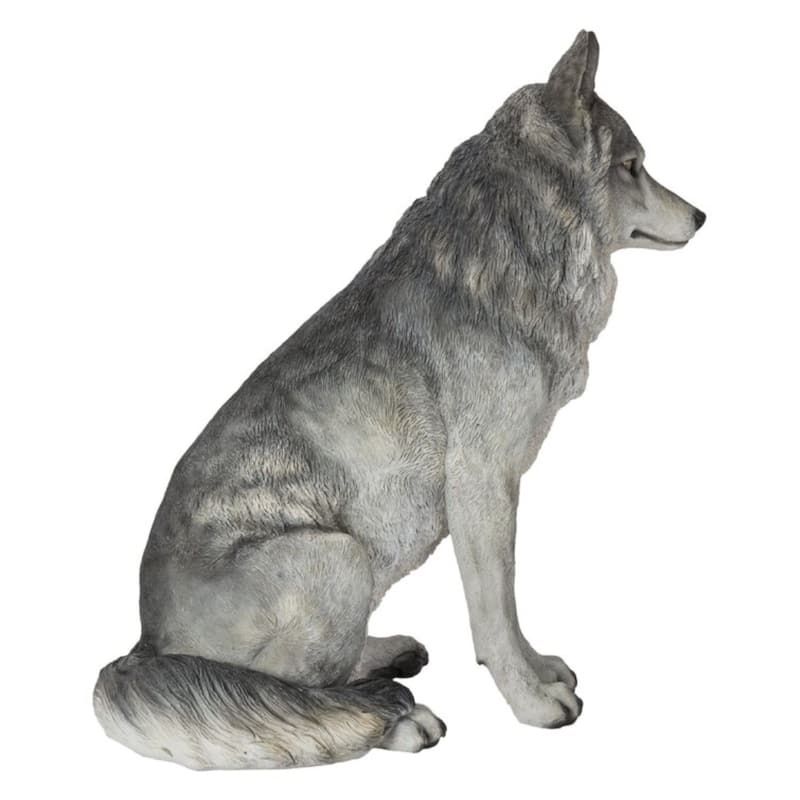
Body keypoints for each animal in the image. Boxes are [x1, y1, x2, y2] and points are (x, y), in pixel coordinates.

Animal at [94, 30, 705, 769]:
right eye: (631, 166)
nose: (702, 216)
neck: (506, 263)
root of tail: (145, 647)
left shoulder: (497, 492)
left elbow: (508, 609)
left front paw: (538, 670)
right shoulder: (480, 485)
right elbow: (492, 611)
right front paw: (531, 704)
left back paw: (386, 653)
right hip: (339, 558)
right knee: (284, 696)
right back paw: (398, 721)